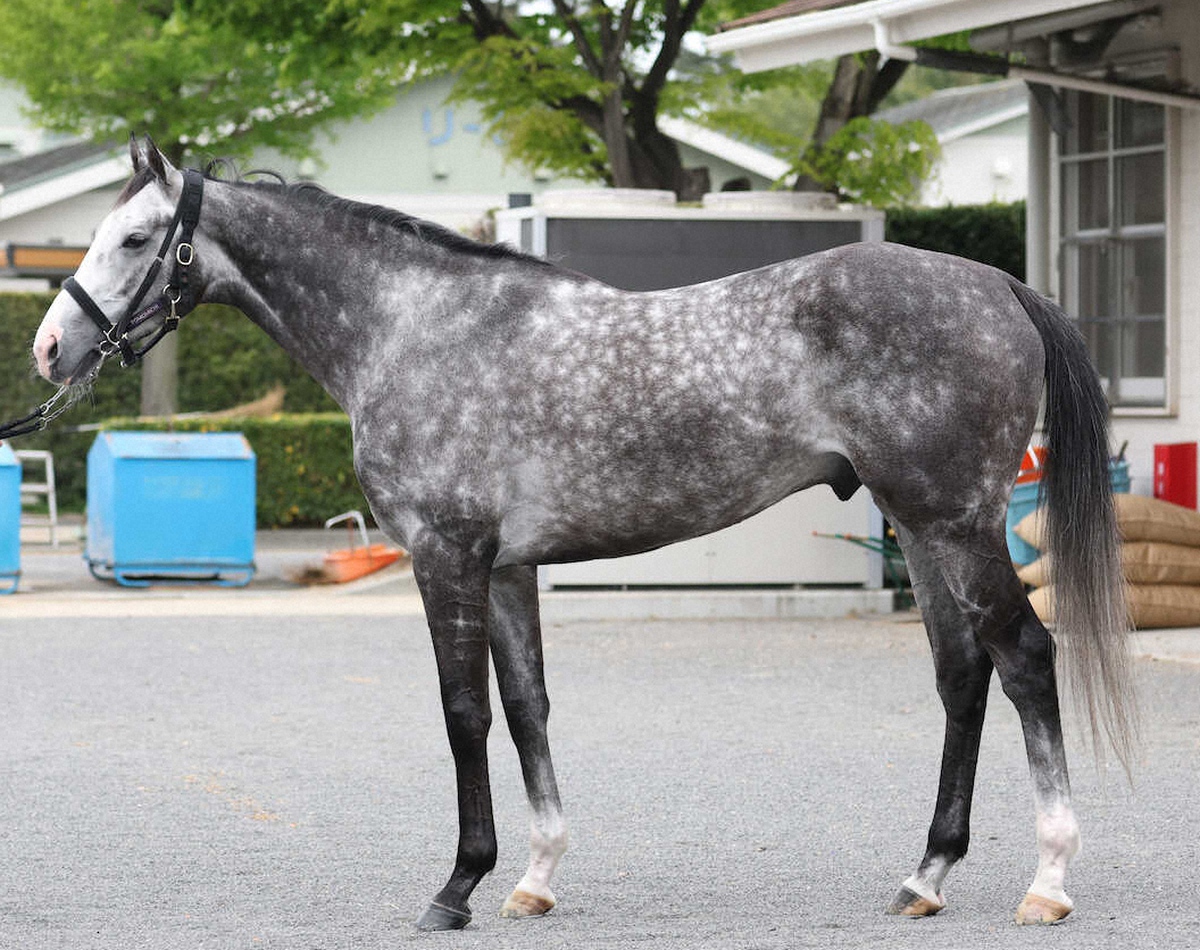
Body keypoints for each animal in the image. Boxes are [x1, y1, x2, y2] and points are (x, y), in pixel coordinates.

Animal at [31, 138, 1137, 931]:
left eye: (134, 240)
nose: (46, 348)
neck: (413, 330)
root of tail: (997, 285)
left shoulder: (447, 556)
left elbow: (463, 714)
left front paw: (457, 886)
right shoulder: (508, 569)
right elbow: (527, 708)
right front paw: (534, 876)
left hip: (957, 523)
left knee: (1025, 656)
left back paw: (1048, 881)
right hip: (918, 525)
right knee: (962, 675)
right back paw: (925, 874)